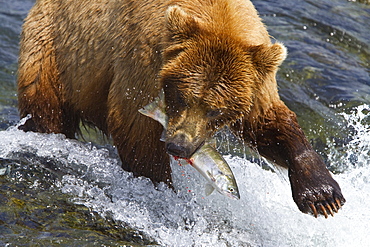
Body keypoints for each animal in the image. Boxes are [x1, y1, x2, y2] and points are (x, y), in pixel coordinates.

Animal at [18, 0, 346, 217]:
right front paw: (161, 189)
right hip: (54, 51)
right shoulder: (145, 62)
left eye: (217, 110)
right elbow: (135, 127)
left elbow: (269, 123)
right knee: (46, 109)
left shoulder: (256, 82)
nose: (179, 146)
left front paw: (322, 196)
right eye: (181, 96)